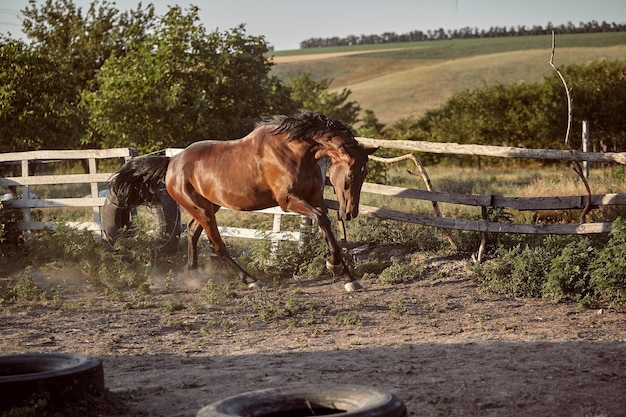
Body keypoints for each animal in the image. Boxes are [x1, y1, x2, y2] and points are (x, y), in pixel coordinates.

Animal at [106, 112, 372, 290]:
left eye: (364, 174)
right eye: (350, 175)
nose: (350, 212)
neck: (295, 151)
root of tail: (172, 163)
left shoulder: (314, 198)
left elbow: (325, 223)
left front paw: (346, 276)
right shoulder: (288, 201)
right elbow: (322, 219)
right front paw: (336, 267)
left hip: (209, 206)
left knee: (192, 231)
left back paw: (193, 275)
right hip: (203, 209)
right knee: (216, 245)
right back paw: (251, 280)